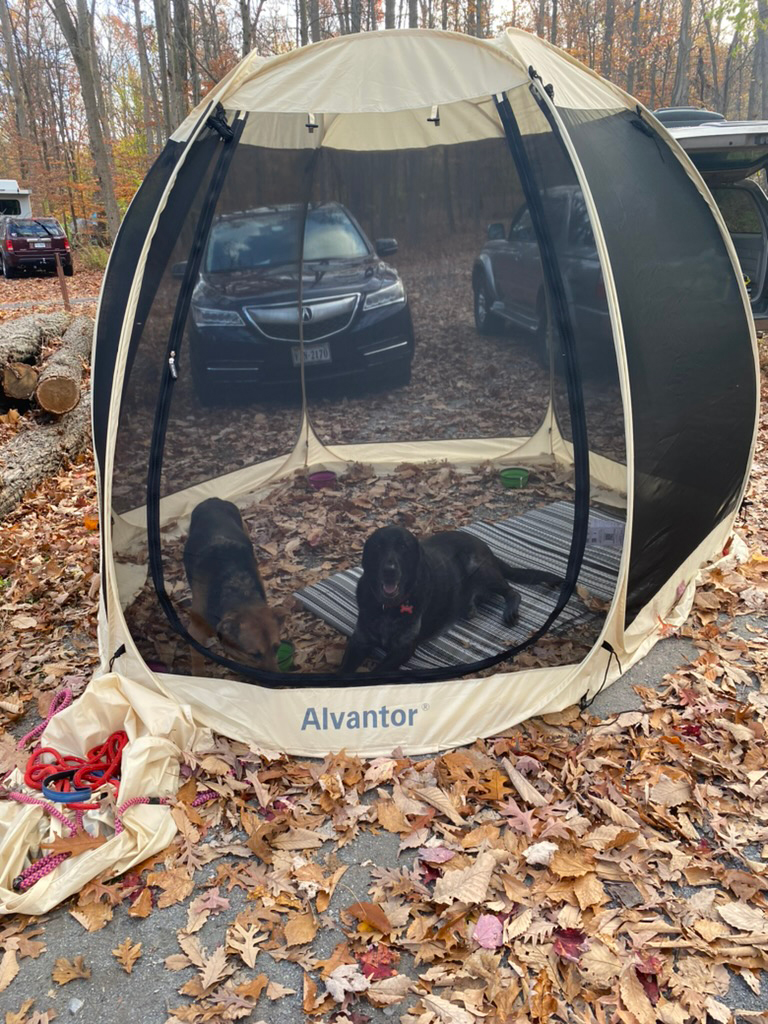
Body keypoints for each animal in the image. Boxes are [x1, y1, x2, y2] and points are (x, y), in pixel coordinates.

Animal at [184, 495, 282, 671]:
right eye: (254, 654)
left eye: (277, 648)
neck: (240, 593)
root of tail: (213, 499)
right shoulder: (194, 633)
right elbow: (197, 662)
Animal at [342, 528, 565, 671]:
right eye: (378, 547)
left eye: (403, 547)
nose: (389, 571)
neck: (387, 607)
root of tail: (487, 547)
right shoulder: (359, 641)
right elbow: (343, 671)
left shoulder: (403, 649)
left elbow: (375, 673)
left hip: (478, 567)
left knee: (513, 591)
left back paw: (508, 609)